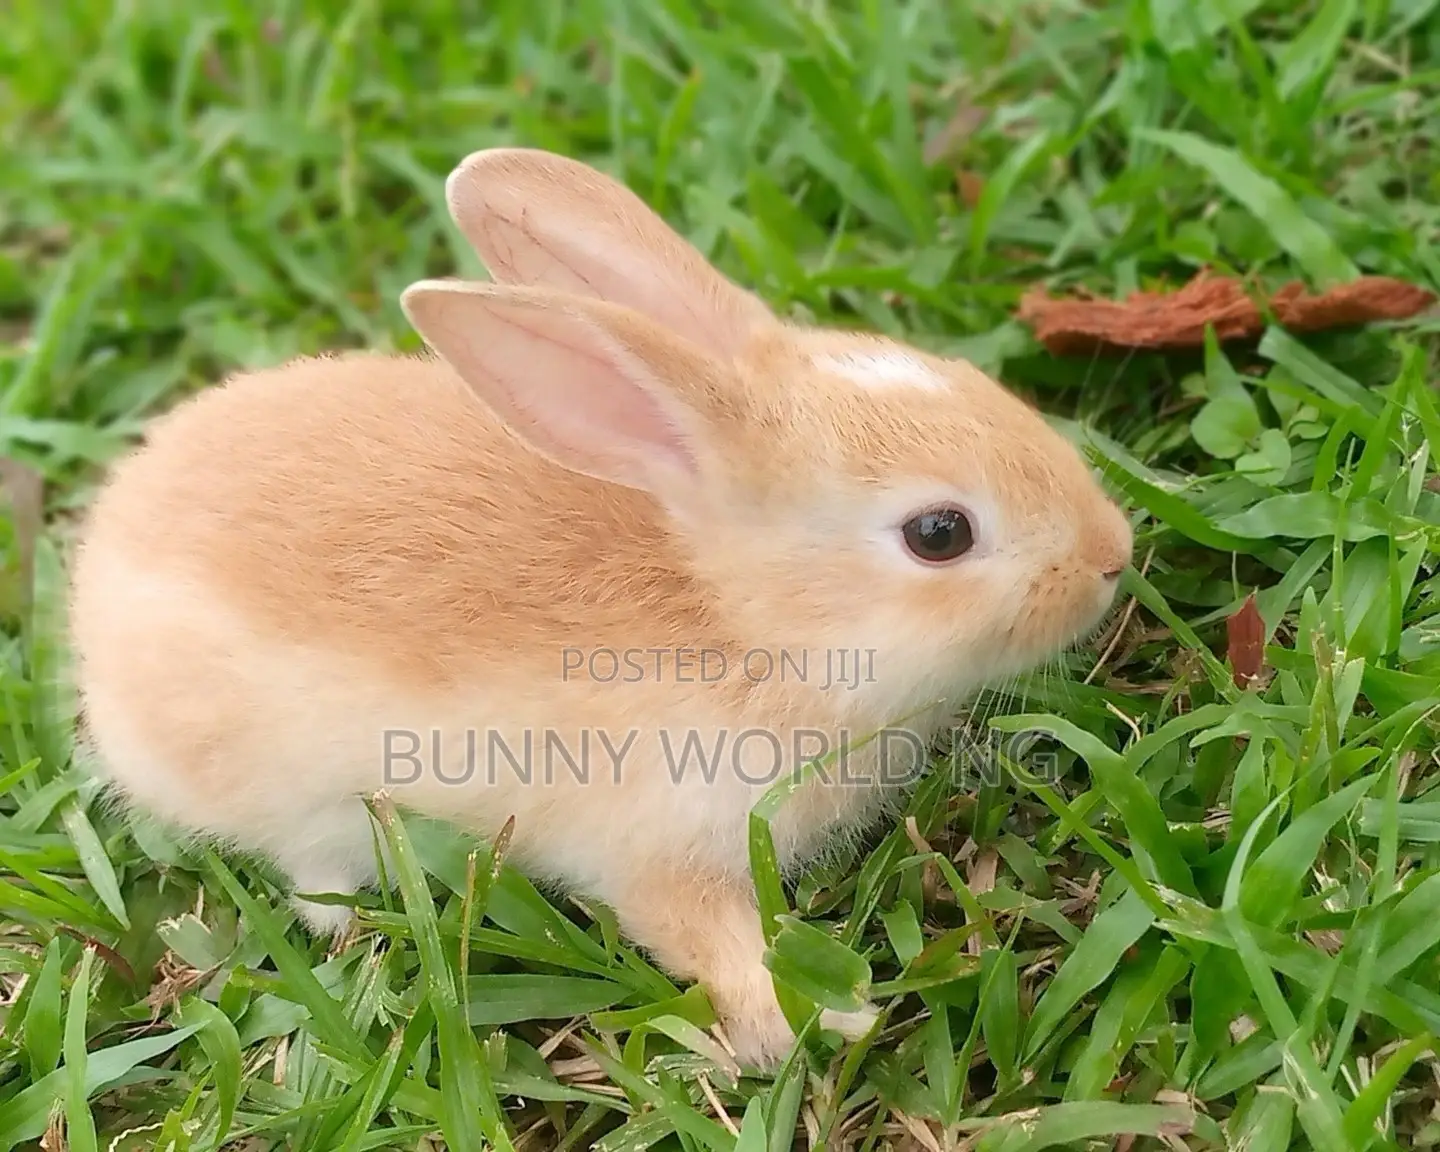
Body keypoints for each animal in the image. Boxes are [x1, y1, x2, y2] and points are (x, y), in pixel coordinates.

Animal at [66, 147, 1133, 1070]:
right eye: (939, 534)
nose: (1111, 555)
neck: (746, 615)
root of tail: (98, 586)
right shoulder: (664, 851)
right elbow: (722, 950)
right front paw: (829, 1022)